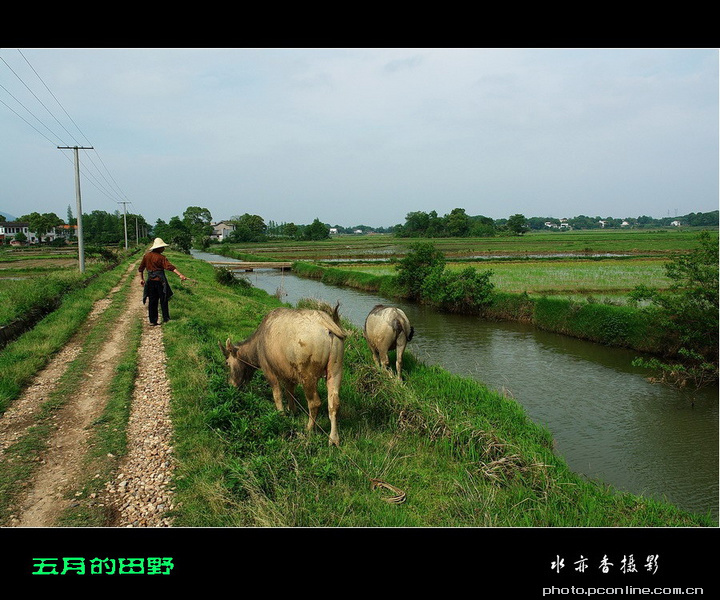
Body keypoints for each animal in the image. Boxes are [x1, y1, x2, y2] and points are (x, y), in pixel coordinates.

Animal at [221, 304, 348, 446]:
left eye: (227, 363)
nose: (231, 384)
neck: (257, 345)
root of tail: (326, 322)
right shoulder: (289, 374)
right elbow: (289, 392)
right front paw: (292, 410)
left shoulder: (268, 369)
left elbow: (277, 393)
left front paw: (281, 413)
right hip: (336, 369)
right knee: (334, 403)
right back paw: (334, 439)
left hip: (308, 375)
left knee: (314, 403)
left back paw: (309, 429)